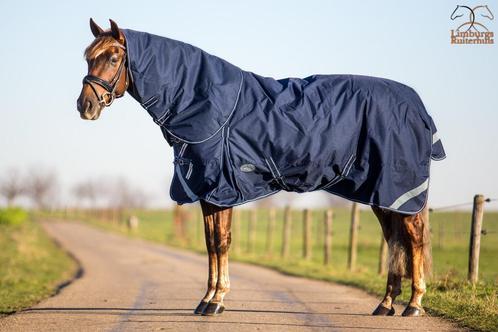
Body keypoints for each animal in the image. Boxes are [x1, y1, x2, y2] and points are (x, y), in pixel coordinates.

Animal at [79, 18, 448, 320]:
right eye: (87, 57)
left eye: (113, 58)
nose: (85, 106)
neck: (204, 103)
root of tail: (418, 107)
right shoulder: (207, 193)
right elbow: (210, 243)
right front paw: (206, 299)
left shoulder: (221, 189)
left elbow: (221, 243)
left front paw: (216, 301)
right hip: (380, 196)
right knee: (394, 240)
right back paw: (385, 305)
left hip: (397, 190)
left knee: (414, 237)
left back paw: (414, 305)